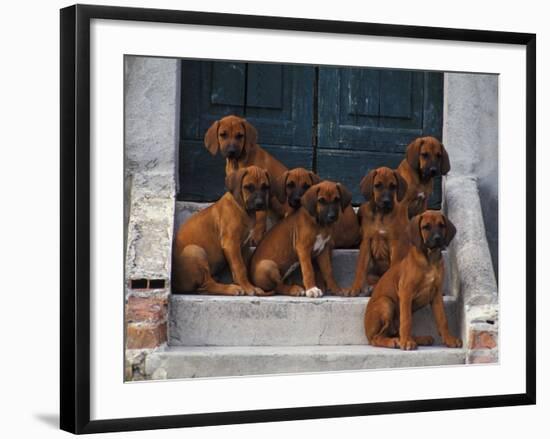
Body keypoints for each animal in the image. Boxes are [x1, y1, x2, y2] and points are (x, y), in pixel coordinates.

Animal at [174, 167, 272, 298]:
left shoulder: (244, 246)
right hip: (195, 250)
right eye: (248, 187)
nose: (259, 204)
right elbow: (240, 267)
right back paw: (231, 289)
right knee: (207, 285)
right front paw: (248, 288)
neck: (241, 206)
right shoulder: (231, 244)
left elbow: (243, 267)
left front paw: (249, 286)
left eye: (265, 187)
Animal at [204, 115, 288, 246]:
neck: (237, 162)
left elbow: (260, 216)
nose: (231, 151)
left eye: (240, 135)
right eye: (223, 135)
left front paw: (256, 236)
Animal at [348, 167, 412, 298]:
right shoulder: (366, 242)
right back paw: (370, 288)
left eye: (393, 186)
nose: (386, 201)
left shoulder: (395, 244)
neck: (381, 214)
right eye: (377, 185)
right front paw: (355, 288)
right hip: (371, 274)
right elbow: (360, 268)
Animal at [366, 211, 466, 352]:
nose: (437, 239)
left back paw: (420, 339)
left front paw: (449, 339)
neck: (430, 259)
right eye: (426, 227)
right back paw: (395, 341)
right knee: (377, 338)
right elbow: (406, 320)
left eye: (441, 225)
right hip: (386, 302)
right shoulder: (406, 292)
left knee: (394, 331)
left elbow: (442, 319)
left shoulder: (437, 294)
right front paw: (406, 342)